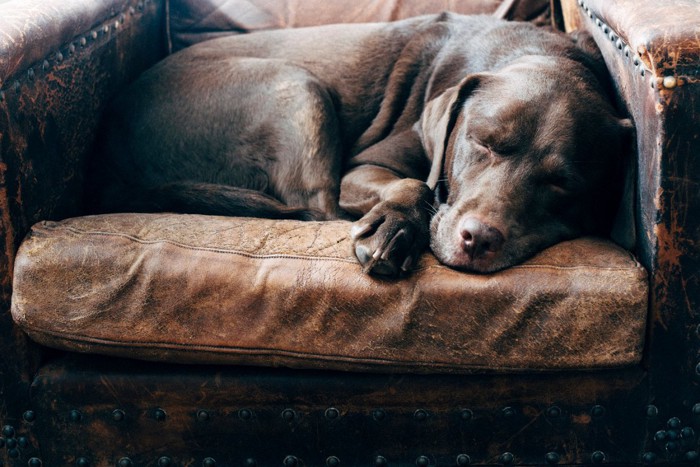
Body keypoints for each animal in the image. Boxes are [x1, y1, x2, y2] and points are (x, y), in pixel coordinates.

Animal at [87, 12, 628, 278]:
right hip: (297, 84)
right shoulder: (365, 166)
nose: (478, 239)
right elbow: (417, 184)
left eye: (563, 183)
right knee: (318, 207)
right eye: (482, 143)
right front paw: (394, 229)